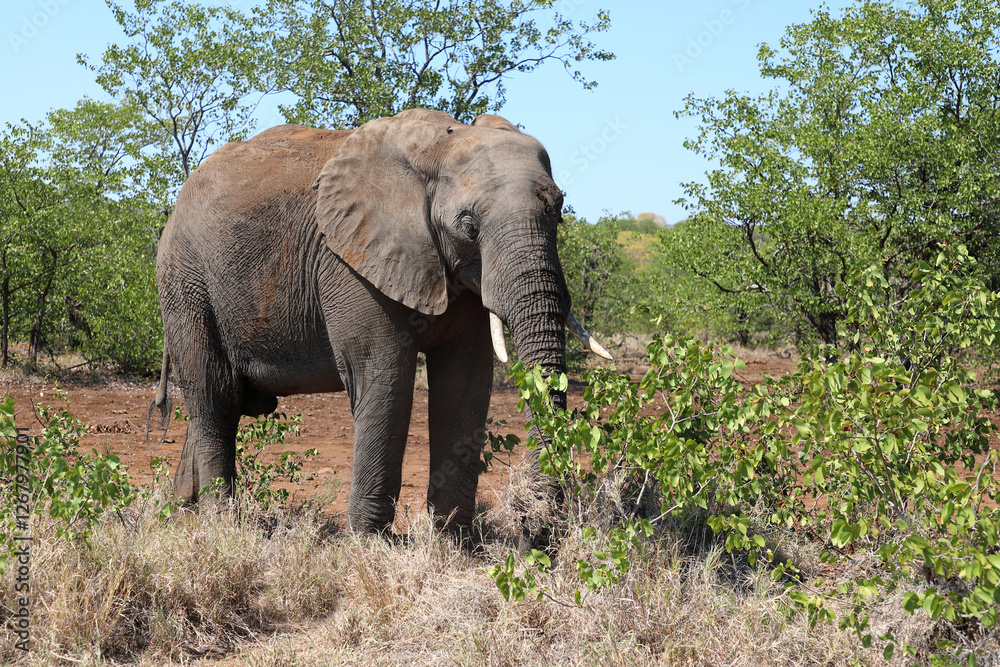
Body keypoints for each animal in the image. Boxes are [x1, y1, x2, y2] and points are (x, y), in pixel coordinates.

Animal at [151, 108, 611, 533]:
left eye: (559, 212)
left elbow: (465, 383)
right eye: (469, 226)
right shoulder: (350, 261)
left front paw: (455, 544)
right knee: (215, 395)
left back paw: (181, 513)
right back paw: (221, 523)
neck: (442, 144)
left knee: (219, 404)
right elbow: (383, 375)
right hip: (187, 283)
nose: (536, 527)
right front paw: (367, 542)